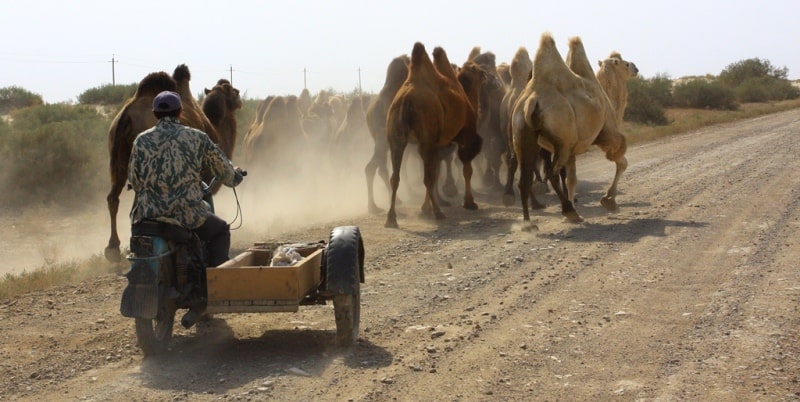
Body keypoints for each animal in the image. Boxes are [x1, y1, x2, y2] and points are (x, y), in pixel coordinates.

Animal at [102, 64, 238, 262]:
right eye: (235, 91)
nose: (240, 97)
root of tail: (125, 116)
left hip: (116, 153)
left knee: (113, 197)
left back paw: (113, 248)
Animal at [384, 43, 484, 229]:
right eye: (476, 69)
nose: (485, 73)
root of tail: (405, 100)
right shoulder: (466, 137)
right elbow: (466, 169)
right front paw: (470, 203)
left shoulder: (434, 145)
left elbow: (435, 171)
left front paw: (425, 209)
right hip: (426, 136)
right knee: (427, 177)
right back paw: (439, 213)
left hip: (396, 139)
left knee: (396, 177)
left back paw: (391, 218)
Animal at [510, 32, 628, 225]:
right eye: (625, 63)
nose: (636, 68)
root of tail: (531, 101)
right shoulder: (607, 134)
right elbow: (621, 160)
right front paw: (609, 200)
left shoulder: (574, 148)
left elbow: (571, 179)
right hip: (563, 139)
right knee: (551, 173)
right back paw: (568, 211)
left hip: (523, 136)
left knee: (524, 179)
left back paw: (528, 223)